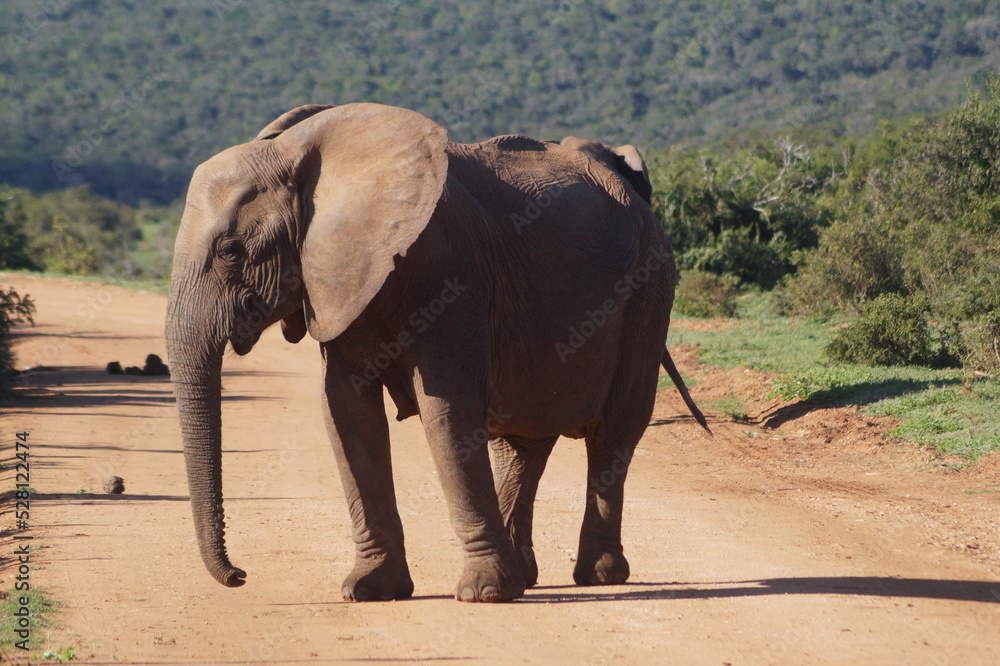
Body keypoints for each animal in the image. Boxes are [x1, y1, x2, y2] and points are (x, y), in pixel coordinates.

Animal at [164, 102, 708, 600]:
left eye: (230, 251)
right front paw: (371, 589)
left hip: (649, 290)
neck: (304, 157)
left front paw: (483, 594)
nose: (240, 575)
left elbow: (446, 411)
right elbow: (345, 412)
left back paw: (596, 576)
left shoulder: (450, 275)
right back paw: (526, 577)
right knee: (524, 441)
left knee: (615, 431)